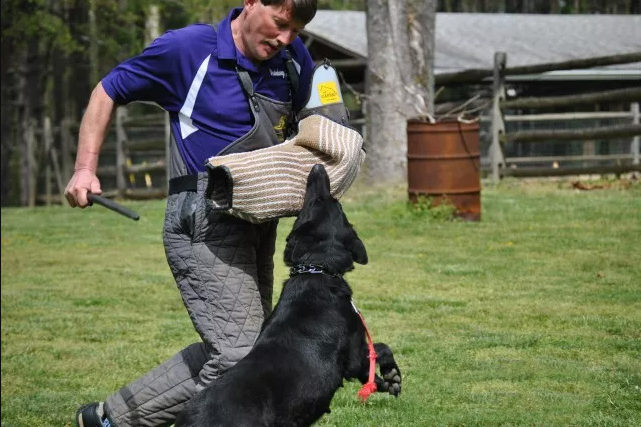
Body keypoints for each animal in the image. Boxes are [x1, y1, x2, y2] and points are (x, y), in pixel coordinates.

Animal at [175, 166, 400, 426]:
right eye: (326, 201)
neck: (315, 270)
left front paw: (386, 380)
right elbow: (380, 350)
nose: (317, 168)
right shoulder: (354, 353)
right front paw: (392, 377)